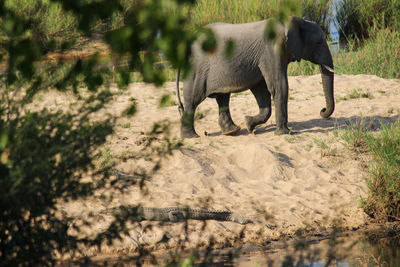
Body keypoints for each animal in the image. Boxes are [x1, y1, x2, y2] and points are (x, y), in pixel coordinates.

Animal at [175, 16, 334, 138]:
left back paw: (232, 131)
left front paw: (249, 124)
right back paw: (192, 137)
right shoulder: (271, 51)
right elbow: (279, 85)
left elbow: (261, 90)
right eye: (319, 42)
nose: (322, 111)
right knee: (193, 100)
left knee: (222, 98)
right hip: (197, 68)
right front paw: (285, 133)